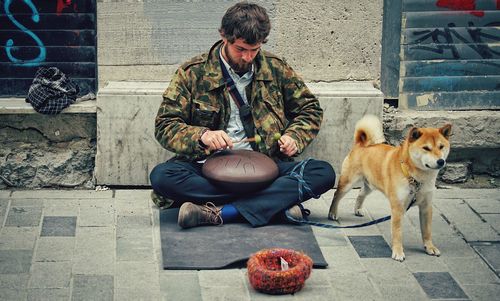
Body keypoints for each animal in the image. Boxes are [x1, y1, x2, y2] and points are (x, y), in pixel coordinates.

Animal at [330, 115, 452, 260]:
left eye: (441, 146)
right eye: (426, 148)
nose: (441, 161)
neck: (417, 178)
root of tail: (361, 144)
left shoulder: (426, 206)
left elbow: (427, 231)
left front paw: (430, 247)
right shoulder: (397, 207)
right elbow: (397, 232)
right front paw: (398, 252)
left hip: (370, 185)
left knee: (360, 194)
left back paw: (358, 209)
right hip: (348, 182)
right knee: (337, 195)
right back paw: (332, 213)